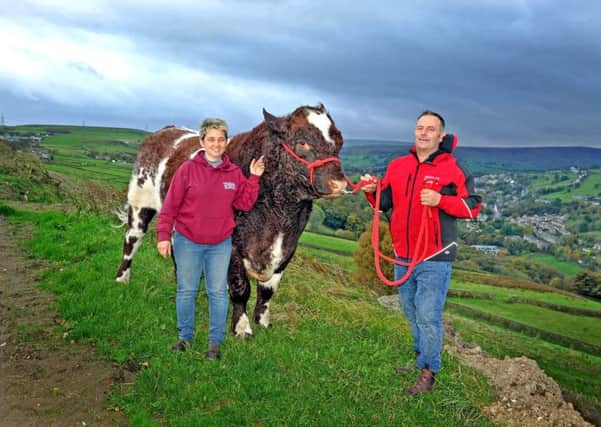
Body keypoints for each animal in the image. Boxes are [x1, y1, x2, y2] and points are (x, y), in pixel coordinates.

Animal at [115, 104, 346, 338]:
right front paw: (242, 327)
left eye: (339, 143)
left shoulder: (289, 247)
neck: (278, 216)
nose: (339, 183)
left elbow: (268, 290)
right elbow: (240, 286)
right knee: (132, 239)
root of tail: (166, 130)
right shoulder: (233, 245)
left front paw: (262, 321)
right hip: (140, 200)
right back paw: (122, 279)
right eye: (302, 142)